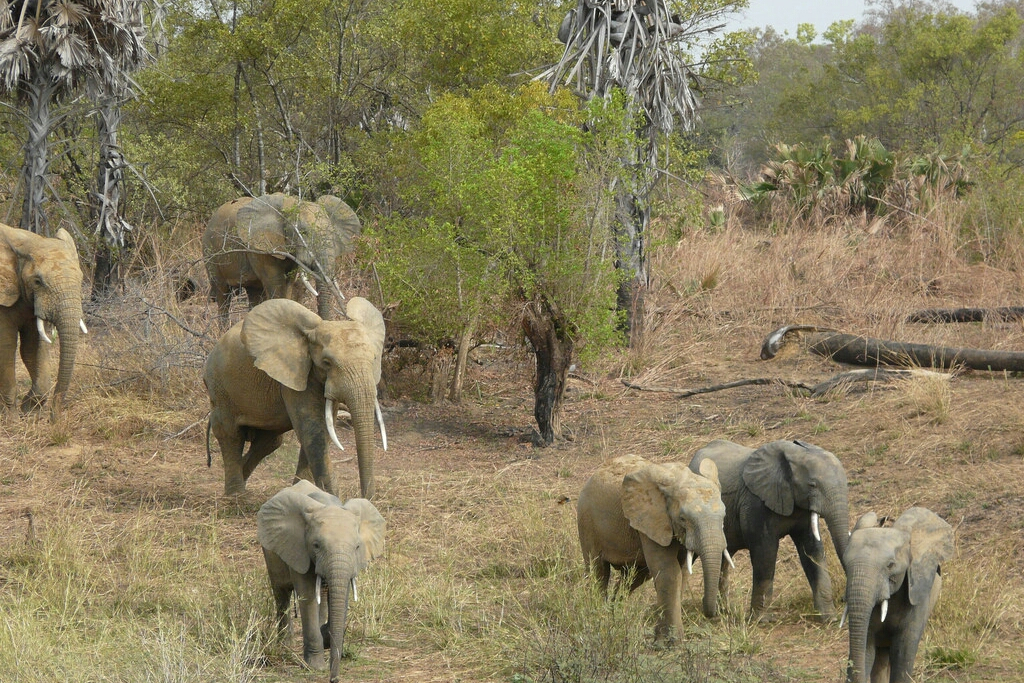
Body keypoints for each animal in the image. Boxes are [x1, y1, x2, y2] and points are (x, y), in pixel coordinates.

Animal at [0, 223, 85, 414]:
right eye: (37, 281)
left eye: (81, 279)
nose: (54, 418)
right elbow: (6, 348)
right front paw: (12, 418)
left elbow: (32, 348)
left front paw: (28, 411)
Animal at [199, 192, 360, 317]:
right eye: (303, 233)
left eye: (332, 233)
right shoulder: (261, 247)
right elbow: (275, 283)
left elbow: (288, 284)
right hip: (210, 252)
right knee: (223, 296)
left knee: (253, 293)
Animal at [202, 295, 385, 498]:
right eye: (327, 362)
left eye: (374, 359)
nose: (367, 497)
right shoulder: (296, 372)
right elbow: (313, 430)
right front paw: (330, 498)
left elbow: (320, 430)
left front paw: (305, 491)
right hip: (220, 387)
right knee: (230, 433)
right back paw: (236, 496)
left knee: (269, 441)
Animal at [256, 477, 385, 680]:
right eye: (316, 545)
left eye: (357, 547)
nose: (334, 679)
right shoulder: (298, 547)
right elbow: (307, 595)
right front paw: (315, 667)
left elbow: (340, 595)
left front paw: (327, 636)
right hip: (270, 548)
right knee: (281, 592)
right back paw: (284, 646)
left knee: (322, 597)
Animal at [692, 438, 852, 619]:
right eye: (812, 485)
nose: (843, 598)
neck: (795, 453)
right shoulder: (755, 502)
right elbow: (765, 552)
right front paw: (763, 620)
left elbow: (812, 550)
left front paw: (829, 617)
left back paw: (724, 611)